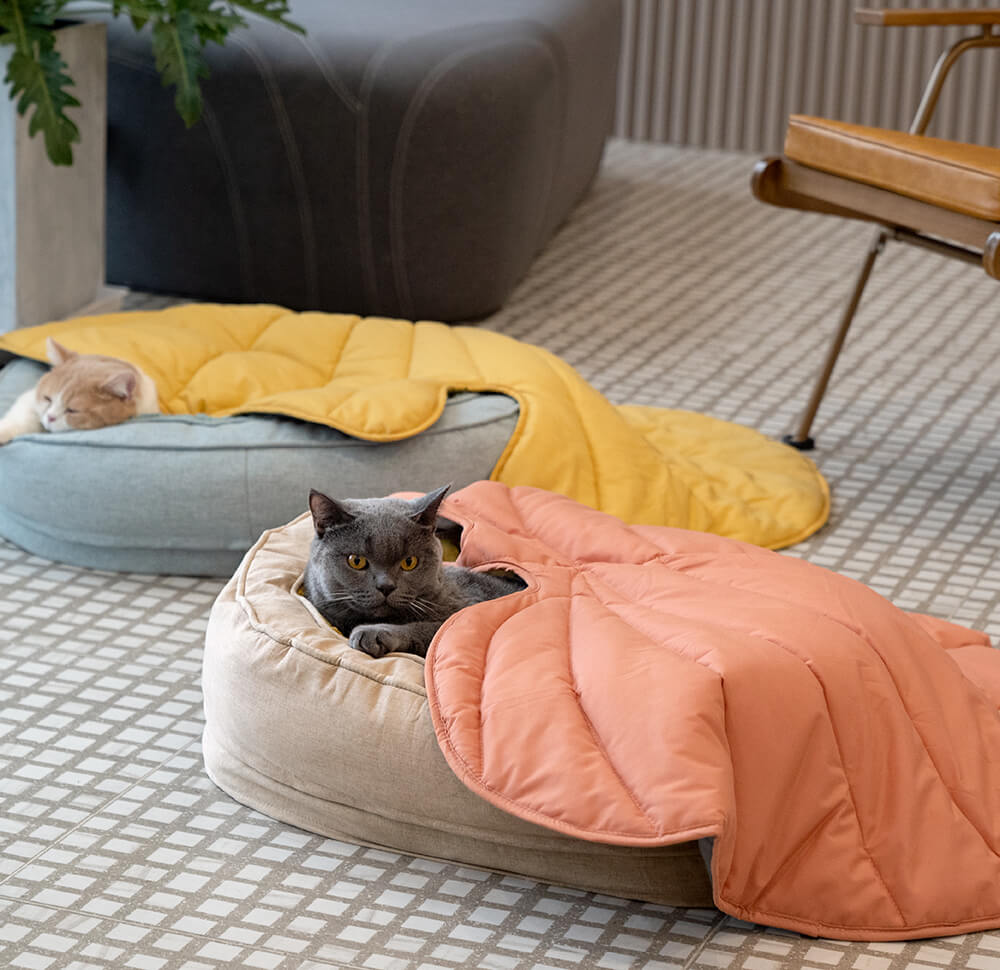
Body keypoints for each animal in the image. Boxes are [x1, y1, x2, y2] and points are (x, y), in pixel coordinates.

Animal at [302, 484, 524, 656]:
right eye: (356, 561)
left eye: (409, 562)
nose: (386, 586)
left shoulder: (466, 612)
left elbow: (432, 628)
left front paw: (373, 633)